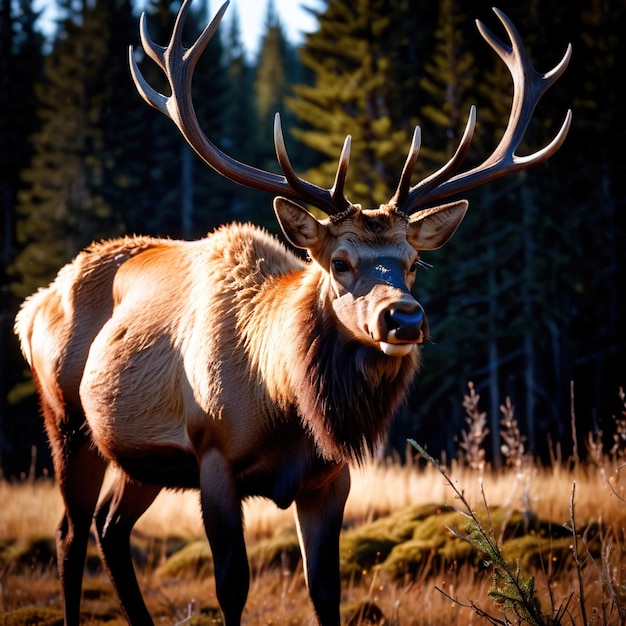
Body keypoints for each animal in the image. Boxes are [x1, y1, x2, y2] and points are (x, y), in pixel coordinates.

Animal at [14, 2, 572, 620]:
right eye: (340, 262)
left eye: (412, 263)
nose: (404, 318)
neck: (284, 402)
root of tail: (31, 308)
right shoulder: (213, 455)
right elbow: (231, 585)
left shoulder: (329, 477)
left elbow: (325, 587)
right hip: (67, 420)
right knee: (70, 532)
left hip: (141, 458)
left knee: (111, 528)